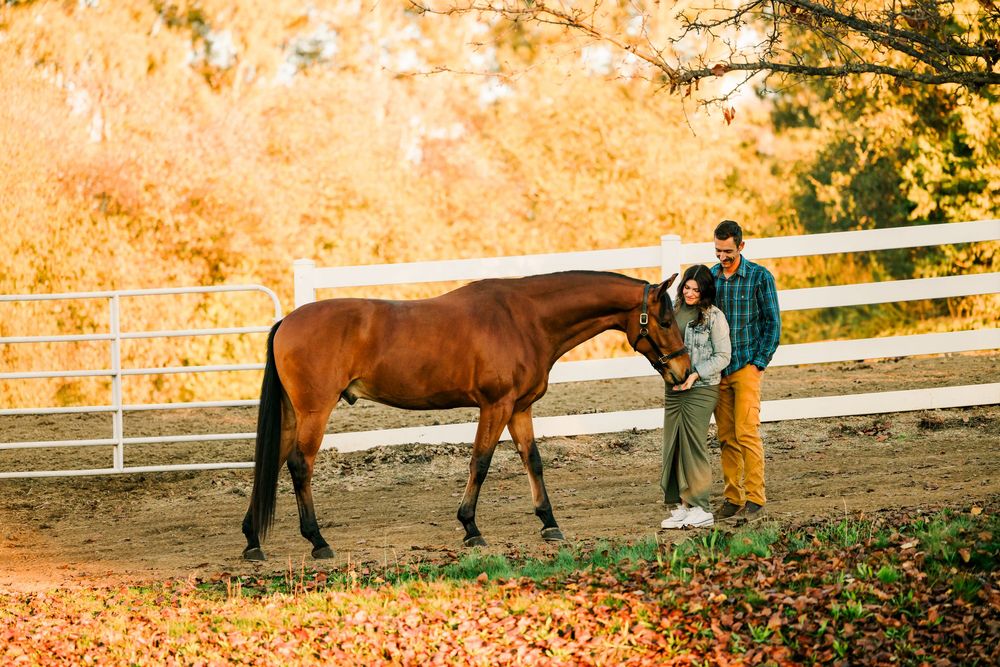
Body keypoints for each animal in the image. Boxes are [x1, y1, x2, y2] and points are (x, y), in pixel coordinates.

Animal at [241, 270, 691, 561]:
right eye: (665, 319)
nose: (684, 371)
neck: (524, 319)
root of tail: (286, 322)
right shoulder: (496, 406)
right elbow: (481, 462)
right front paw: (471, 528)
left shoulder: (519, 408)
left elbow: (533, 460)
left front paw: (549, 522)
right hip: (315, 411)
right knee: (299, 465)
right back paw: (317, 541)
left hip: (294, 415)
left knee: (272, 462)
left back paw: (252, 541)